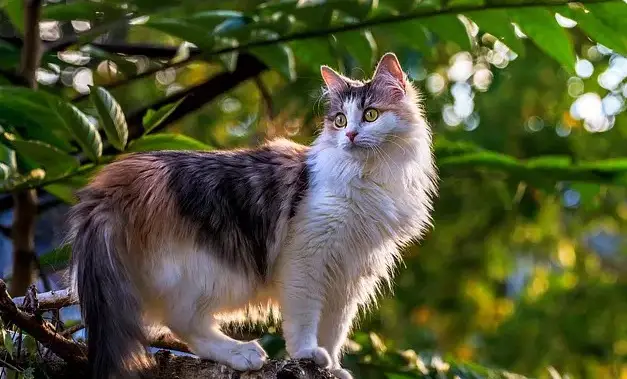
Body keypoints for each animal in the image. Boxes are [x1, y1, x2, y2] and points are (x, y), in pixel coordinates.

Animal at [68, 51, 436, 379]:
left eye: (371, 115)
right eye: (340, 120)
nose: (350, 135)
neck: (368, 177)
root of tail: (113, 183)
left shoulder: (350, 275)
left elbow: (334, 329)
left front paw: (331, 366)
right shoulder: (307, 258)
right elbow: (305, 319)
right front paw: (307, 354)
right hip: (211, 271)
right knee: (181, 321)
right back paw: (240, 353)